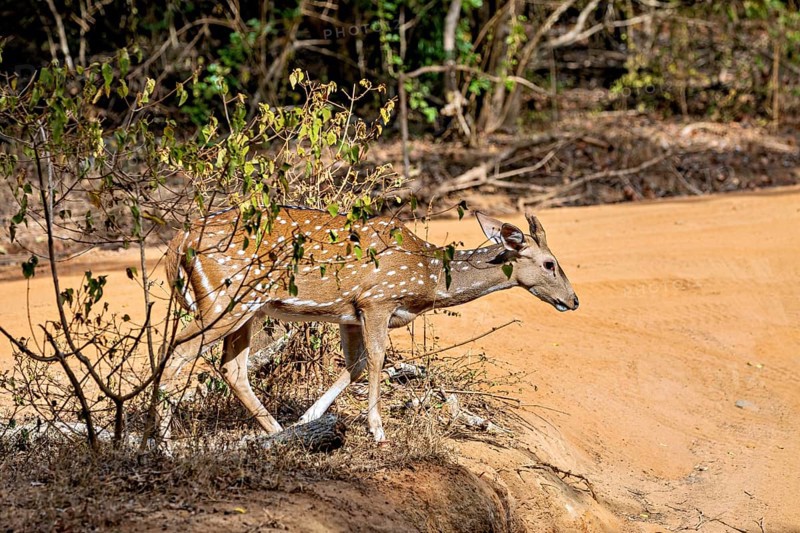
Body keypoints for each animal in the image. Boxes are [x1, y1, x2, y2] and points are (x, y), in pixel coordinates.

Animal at [159, 206, 579, 443]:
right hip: (224, 300)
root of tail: (176, 244)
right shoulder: (378, 300)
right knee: (176, 351)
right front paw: (376, 429)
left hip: (247, 309)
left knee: (231, 367)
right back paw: (160, 443)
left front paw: (310, 417)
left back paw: (279, 432)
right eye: (550, 264)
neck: (426, 280)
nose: (573, 300)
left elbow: (357, 365)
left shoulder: (350, 312)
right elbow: (377, 359)